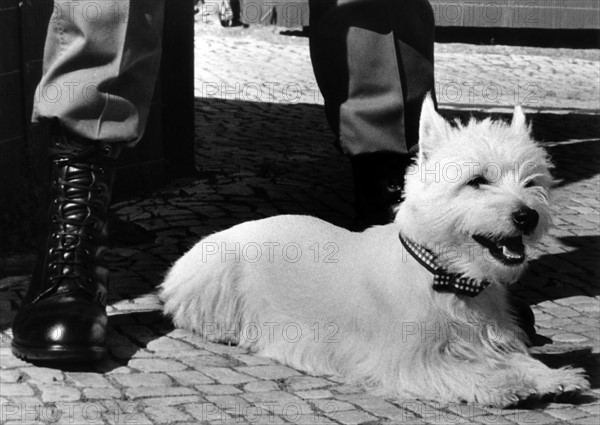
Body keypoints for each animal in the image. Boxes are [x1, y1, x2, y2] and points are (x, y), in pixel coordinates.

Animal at [159, 97, 584, 408]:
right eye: (477, 181)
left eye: (532, 182)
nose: (527, 216)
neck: (445, 276)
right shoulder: (408, 360)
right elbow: (462, 371)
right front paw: (506, 384)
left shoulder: (492, 337)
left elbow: (517, 357)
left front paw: (553, 375)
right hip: (217, 276)